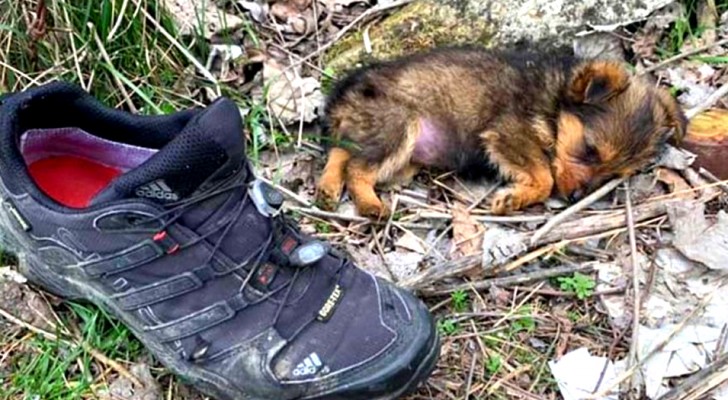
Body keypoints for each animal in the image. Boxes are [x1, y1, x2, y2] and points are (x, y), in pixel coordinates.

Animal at [314, 46, 688, 219]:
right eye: (590, 150)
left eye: (613, 174)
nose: (575, 198)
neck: (554, 102)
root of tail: (344, 94)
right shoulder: (507, 133)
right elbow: (545, 176)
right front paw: (514, 198)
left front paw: (516, 197)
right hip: (398, 125)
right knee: (357, 167)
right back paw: (369, 204)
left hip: (380, 136)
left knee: (342, 151)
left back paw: (328, 187)